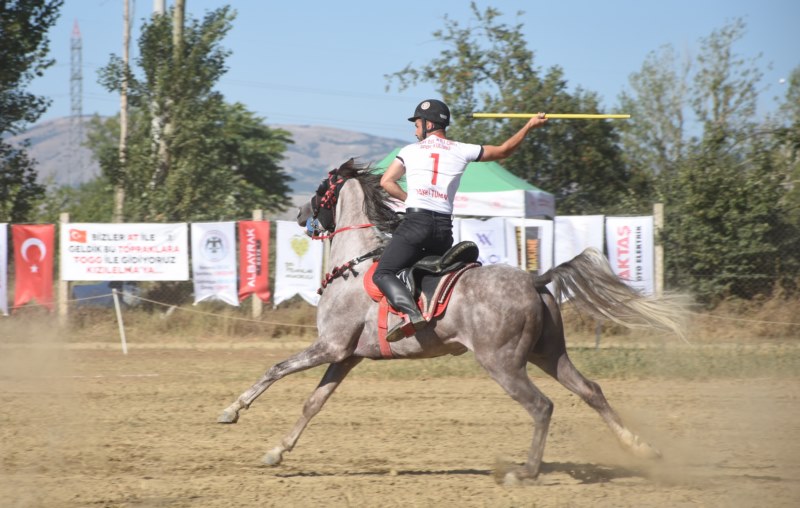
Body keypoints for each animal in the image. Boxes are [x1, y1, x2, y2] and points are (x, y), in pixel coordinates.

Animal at [219, 158, 688, 480]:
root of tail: (535, 279)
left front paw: (231, 410)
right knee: (591, 391)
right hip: (548, 354)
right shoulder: (346, 356)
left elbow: (276, 369)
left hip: (503, 363)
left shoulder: (330, 347)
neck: (355, 264)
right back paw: (641, 449)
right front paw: (277, 451)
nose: (301, 216)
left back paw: (524, 472)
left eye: (321, 188)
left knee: (541, 406)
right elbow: (313, 402)